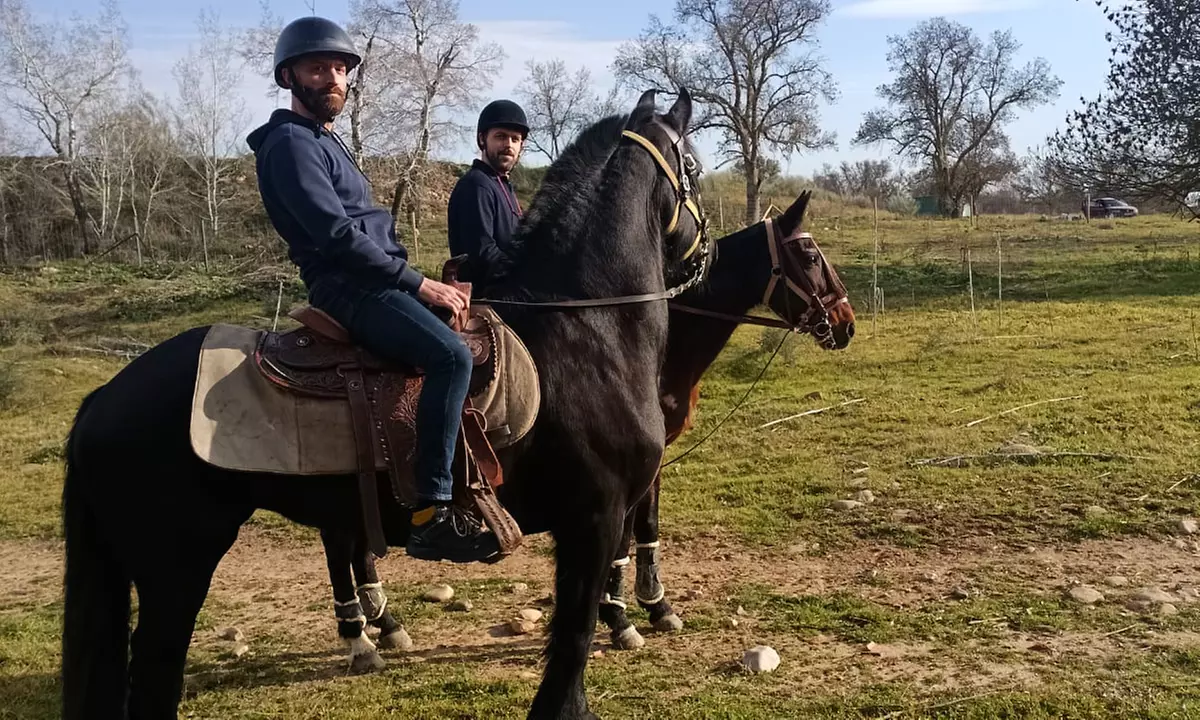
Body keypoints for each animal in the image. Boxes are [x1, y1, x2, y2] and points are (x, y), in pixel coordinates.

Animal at [60, 88, 709, 720]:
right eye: (696, 168)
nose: (704, 259)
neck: (584, 328)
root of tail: (103, 398)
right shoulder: (594, 520)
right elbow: (571, 647)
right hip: (177, 567)